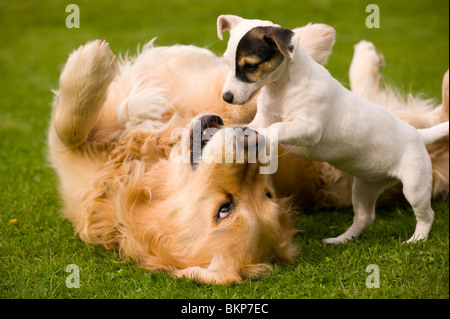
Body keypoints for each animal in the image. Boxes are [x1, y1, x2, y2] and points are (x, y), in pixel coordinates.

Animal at [216, 14, 448, 245]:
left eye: (250, 66)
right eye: (226, 62)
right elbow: (254, 125)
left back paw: (417, 239)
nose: (226, 97)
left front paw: (259, 136)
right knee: (365, 217)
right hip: (364, 187)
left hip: (415, 184)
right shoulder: (263, 117)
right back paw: (342, 239)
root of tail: (419, 135)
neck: (283, 86)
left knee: (427, 215)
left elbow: (277, 127)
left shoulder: (309, 127)